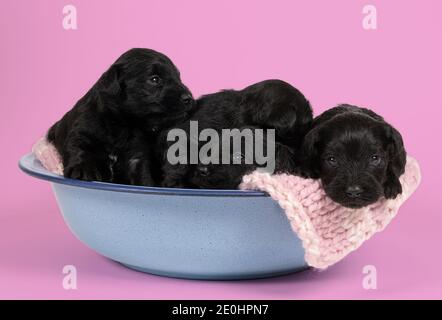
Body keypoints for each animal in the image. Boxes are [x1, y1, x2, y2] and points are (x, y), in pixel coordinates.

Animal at [47, 47, 194, 184]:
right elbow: (80, 149)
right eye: (154, 79)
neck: (123, 124)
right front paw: (82, 169)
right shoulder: (83, 131)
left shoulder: (136, 156)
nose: (189, 98)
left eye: (178, 77)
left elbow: (142, 174)